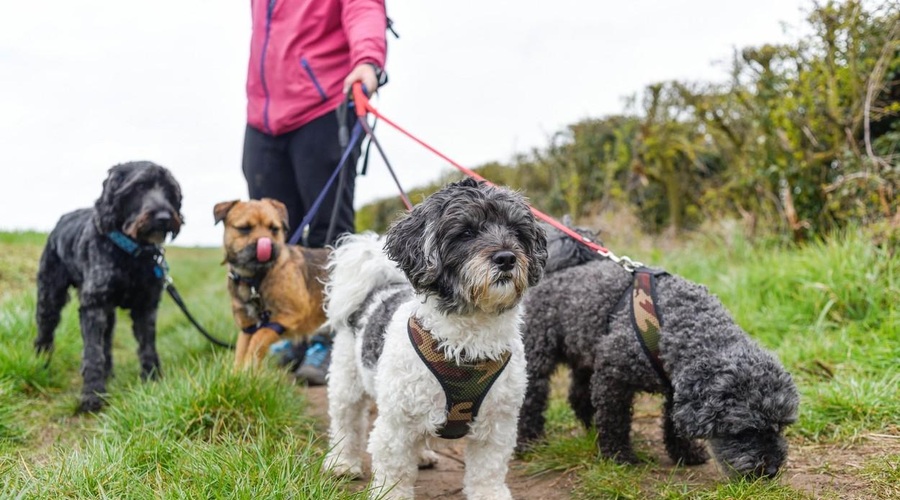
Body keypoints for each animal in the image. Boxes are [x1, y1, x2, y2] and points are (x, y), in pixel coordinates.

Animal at [35, 162, 183, 412]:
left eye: (169, 190)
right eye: (139, 187)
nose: (164, 217)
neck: (131, 253)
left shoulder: (146, 305)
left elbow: (147, 345)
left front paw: (153, 381)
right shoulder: (94, 305)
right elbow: (92, 352)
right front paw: (92, 395)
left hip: (109, 311)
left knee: (107, 339)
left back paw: (109, 373)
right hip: (50, 293)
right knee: (46, 327)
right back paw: (40, 362)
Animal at [213, 198, 328, 368]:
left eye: (274, 229)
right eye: (244, 228)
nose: (267, 245)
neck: (255, 279)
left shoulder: (291, 314)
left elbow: (259, 336)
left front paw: (249, 365)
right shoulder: (247, 327)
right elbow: (241, 350)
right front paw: (239, 373)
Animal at [324, 180, 548, 500]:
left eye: (517, 232)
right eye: (466, 232)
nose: (506, 257)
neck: (467, 344)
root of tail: (378, 288)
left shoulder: (497, 423)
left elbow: (488, 469)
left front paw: (490, 493)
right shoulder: (396, 422)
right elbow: (394, 470)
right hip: (347, 381)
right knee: (346, 422)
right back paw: (342, 462)